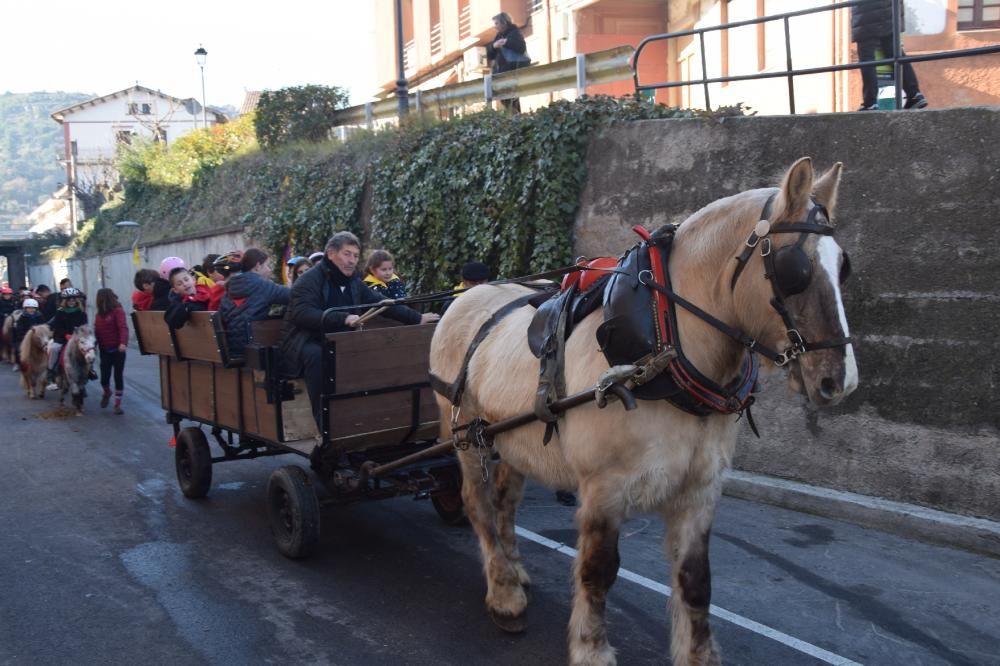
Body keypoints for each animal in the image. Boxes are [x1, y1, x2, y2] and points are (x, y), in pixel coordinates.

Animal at [430, 158, 860, 660]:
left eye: (843, 266)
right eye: (796, 269)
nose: (840, 380)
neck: (662, 345)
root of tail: (467, 296)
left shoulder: (700, 490)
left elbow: (696, 581)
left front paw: (698, 655)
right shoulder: (604, 488)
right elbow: (597, 571)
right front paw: (592, 650)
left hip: (512, 439)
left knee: (504, 502)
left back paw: (514, 572)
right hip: (465, 435)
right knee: (477, 505)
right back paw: (504, 595)